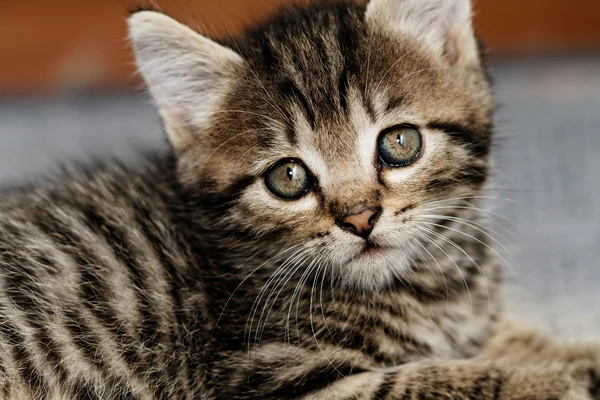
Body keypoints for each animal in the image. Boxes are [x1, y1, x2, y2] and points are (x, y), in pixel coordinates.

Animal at [1, 0, 600, 398]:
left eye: (399, 143)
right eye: (288, 177)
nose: (360, 218)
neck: (428, 287)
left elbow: (513, 334)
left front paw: (574, 355)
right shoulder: (270, 378)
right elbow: (417, 379)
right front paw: (549, 379)